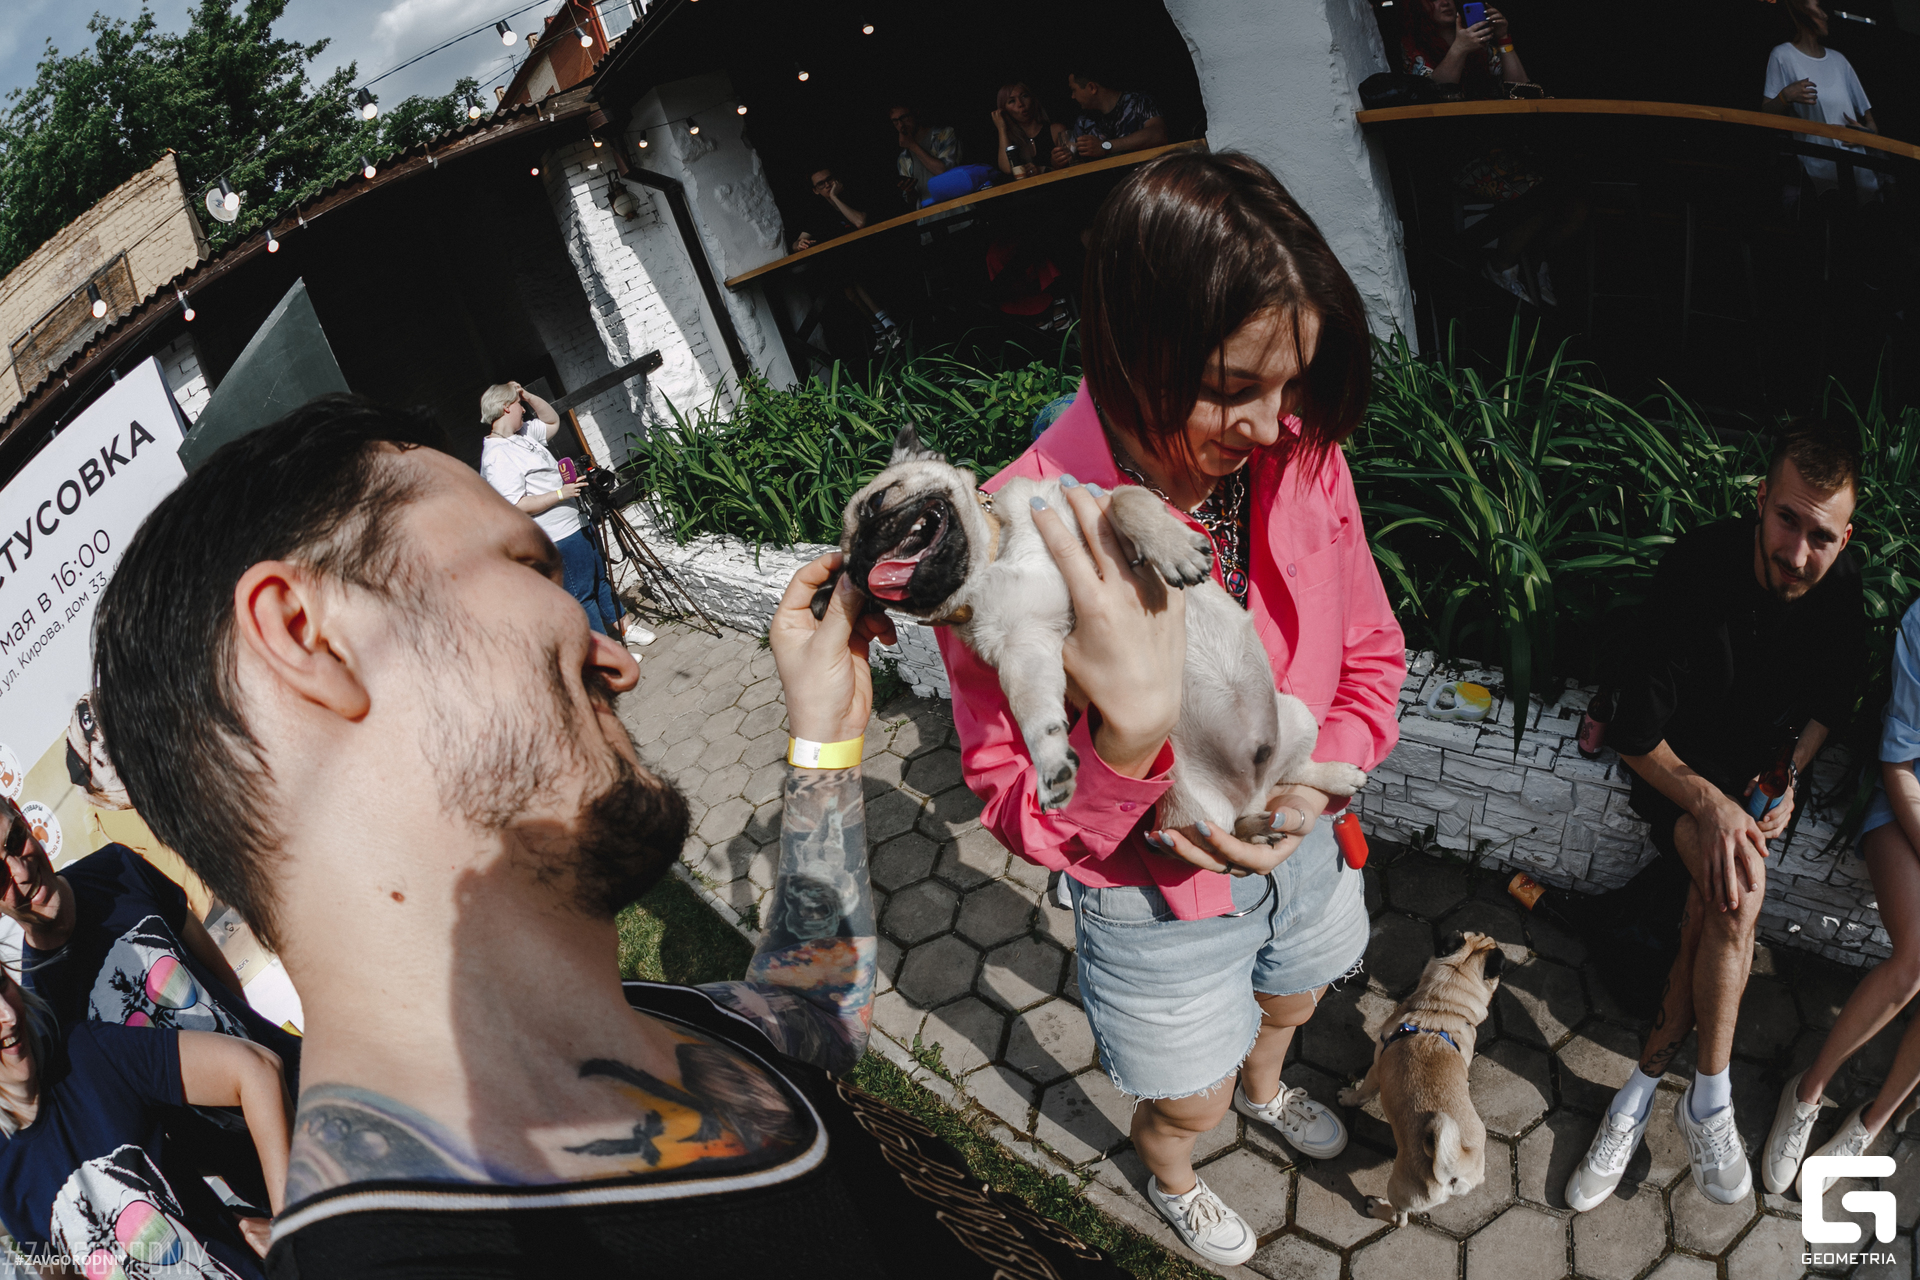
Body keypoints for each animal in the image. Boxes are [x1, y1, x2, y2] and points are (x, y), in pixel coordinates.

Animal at [817, 426, 1366, 836]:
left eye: (877, 503)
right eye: (852, 575)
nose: (860, 557)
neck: (991, 558)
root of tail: (1250, 791)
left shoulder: (1091, 502)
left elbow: (1128, 501)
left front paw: (1173, 547)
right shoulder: (1024, 649)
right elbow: (1034, 714)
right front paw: (1050, 761)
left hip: (1297, 715)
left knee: (1292, 772)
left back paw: (1333, 776)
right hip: (1197, 806)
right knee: (1249, 812)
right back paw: (1267, 824)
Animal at [1338, 931, 1506, 1226]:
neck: (1442, 1010)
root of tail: (1455, 1173)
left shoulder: (1376, 1066)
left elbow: (1362, 1093)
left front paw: (1348, 1097)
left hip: (1400, 1187)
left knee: (1400, 1219)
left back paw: (1377, 1207)